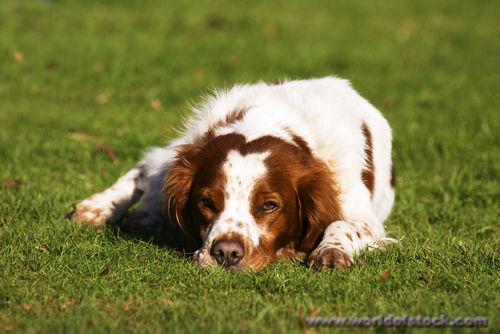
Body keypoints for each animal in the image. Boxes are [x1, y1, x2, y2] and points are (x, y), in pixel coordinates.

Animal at [72, 77, 396, 272]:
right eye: (206, 202)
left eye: (269, 205)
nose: (226, 253)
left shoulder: (361, 213)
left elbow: (341, 224)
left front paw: (330, 252)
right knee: (149, 166)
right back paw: (99, 208)